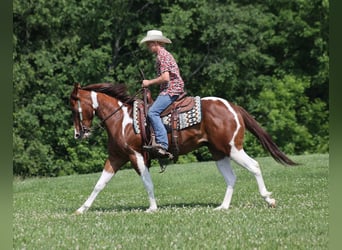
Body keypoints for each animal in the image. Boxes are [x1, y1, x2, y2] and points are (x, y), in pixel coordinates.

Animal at [70, 82, 296, 213]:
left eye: (73, 108)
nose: (78, 134)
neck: (122, 119)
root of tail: (233, 106)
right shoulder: (116, 158)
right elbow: (99, 184)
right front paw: (81, 209)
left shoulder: (136, 156)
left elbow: (147, 183)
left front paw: (152, 208)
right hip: (219, 153)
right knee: (231, 178)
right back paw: (223, 207)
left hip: (233, 148)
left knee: (254, 166)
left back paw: (269, 200)